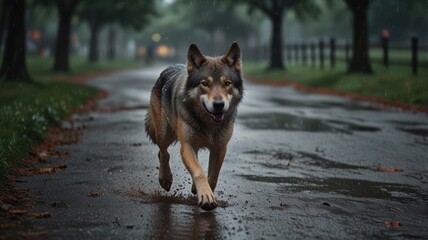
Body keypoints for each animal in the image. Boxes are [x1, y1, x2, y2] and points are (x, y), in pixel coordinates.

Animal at [145, 42, 242, 210]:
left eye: (227, 83)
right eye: (205, 83)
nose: (219, 105)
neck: (208, 124)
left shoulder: (220, 147)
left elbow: (213, 175)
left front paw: (201, 190)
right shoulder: (187, 145)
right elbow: (198, 171)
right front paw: (206, 197)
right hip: (164, 134)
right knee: (163, 152)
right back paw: (165, 179)